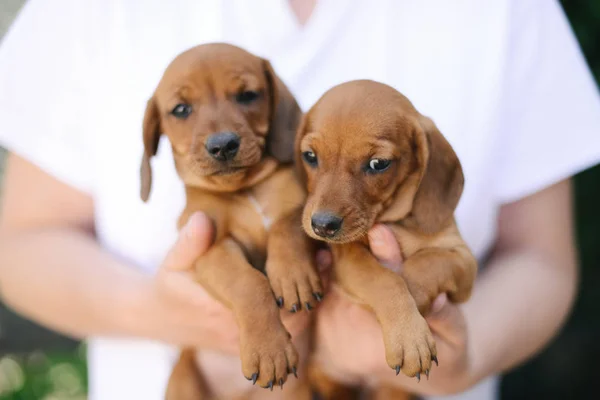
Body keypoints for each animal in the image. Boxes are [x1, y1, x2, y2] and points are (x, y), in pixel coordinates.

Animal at [140, 42, 322, 398]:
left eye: (247, 95)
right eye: (181, 109)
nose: (222, 145)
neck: (244, 190)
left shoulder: (306, 209)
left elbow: (286, 226)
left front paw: (293, 275)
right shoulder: (209, 248)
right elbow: (248, 283)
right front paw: (269, 350)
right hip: (183, 378)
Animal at [290, 79, 478, 398]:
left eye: (378, 163)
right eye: (310, 156)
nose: (322, 226)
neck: (396, 223)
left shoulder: (463, 262)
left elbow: (426, 263)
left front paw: (412, 316)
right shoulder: (347, 259)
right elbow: (385, 280)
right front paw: (409, 333)